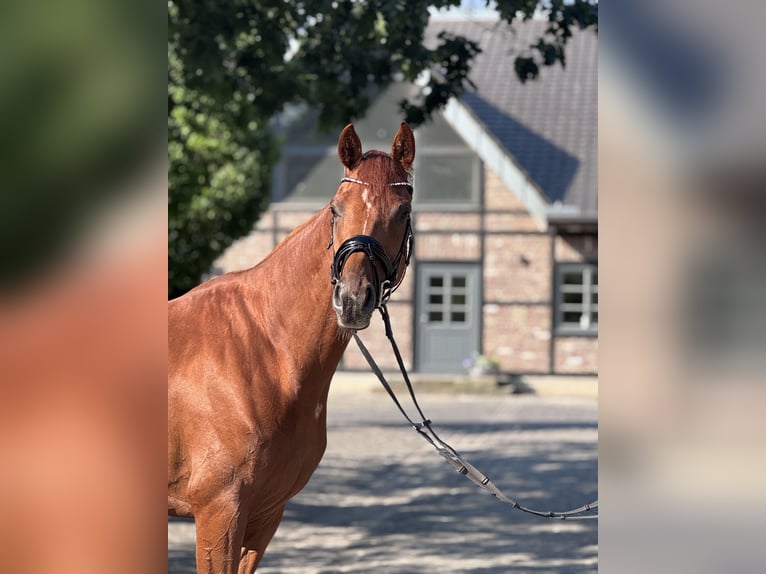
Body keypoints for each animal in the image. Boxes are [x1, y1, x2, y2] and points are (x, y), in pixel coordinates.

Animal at [168, 123, 415, 573]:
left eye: (402, 213)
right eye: (336, 209)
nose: (352, 300)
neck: (265, 350)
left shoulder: (265, 514)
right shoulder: (218, 512)